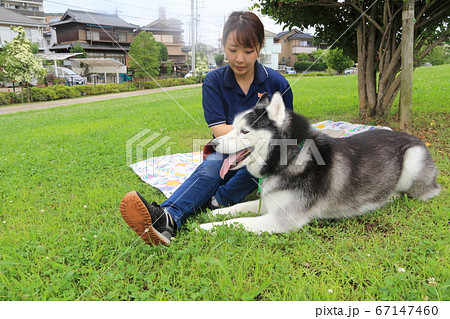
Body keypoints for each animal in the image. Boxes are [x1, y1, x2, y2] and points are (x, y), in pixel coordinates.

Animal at [199, 92, 442, 235]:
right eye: (232, 127)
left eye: (244, 131)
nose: (213, 144)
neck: (291, 158)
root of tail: (414, 137)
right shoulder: (269, 203)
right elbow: (238, 209)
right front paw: (215, 214)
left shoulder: (282, 220)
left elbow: (238, 223)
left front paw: (203, 226)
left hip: (413, 160)